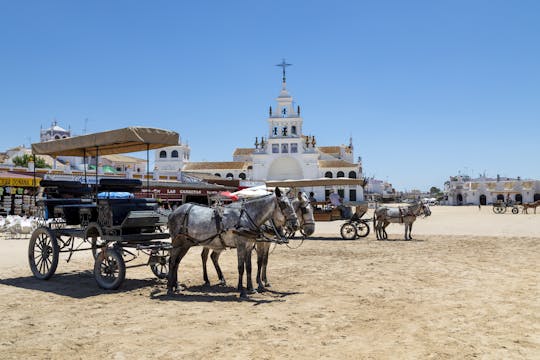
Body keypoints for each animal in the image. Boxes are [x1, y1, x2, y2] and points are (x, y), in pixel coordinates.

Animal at [167, 187, 298, 296]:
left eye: (292, 204)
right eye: (283, 204)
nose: (295, 224)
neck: (245, 217)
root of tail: (174, 212)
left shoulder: (249, 246)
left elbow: (249, 267)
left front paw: (251, 288)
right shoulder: (241, 245)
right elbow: (241, 267)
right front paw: (241, 289)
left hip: (186, 244)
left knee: (178, 262)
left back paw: (176, 286)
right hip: (178, 243)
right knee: (172, 261)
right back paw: (170, 288)